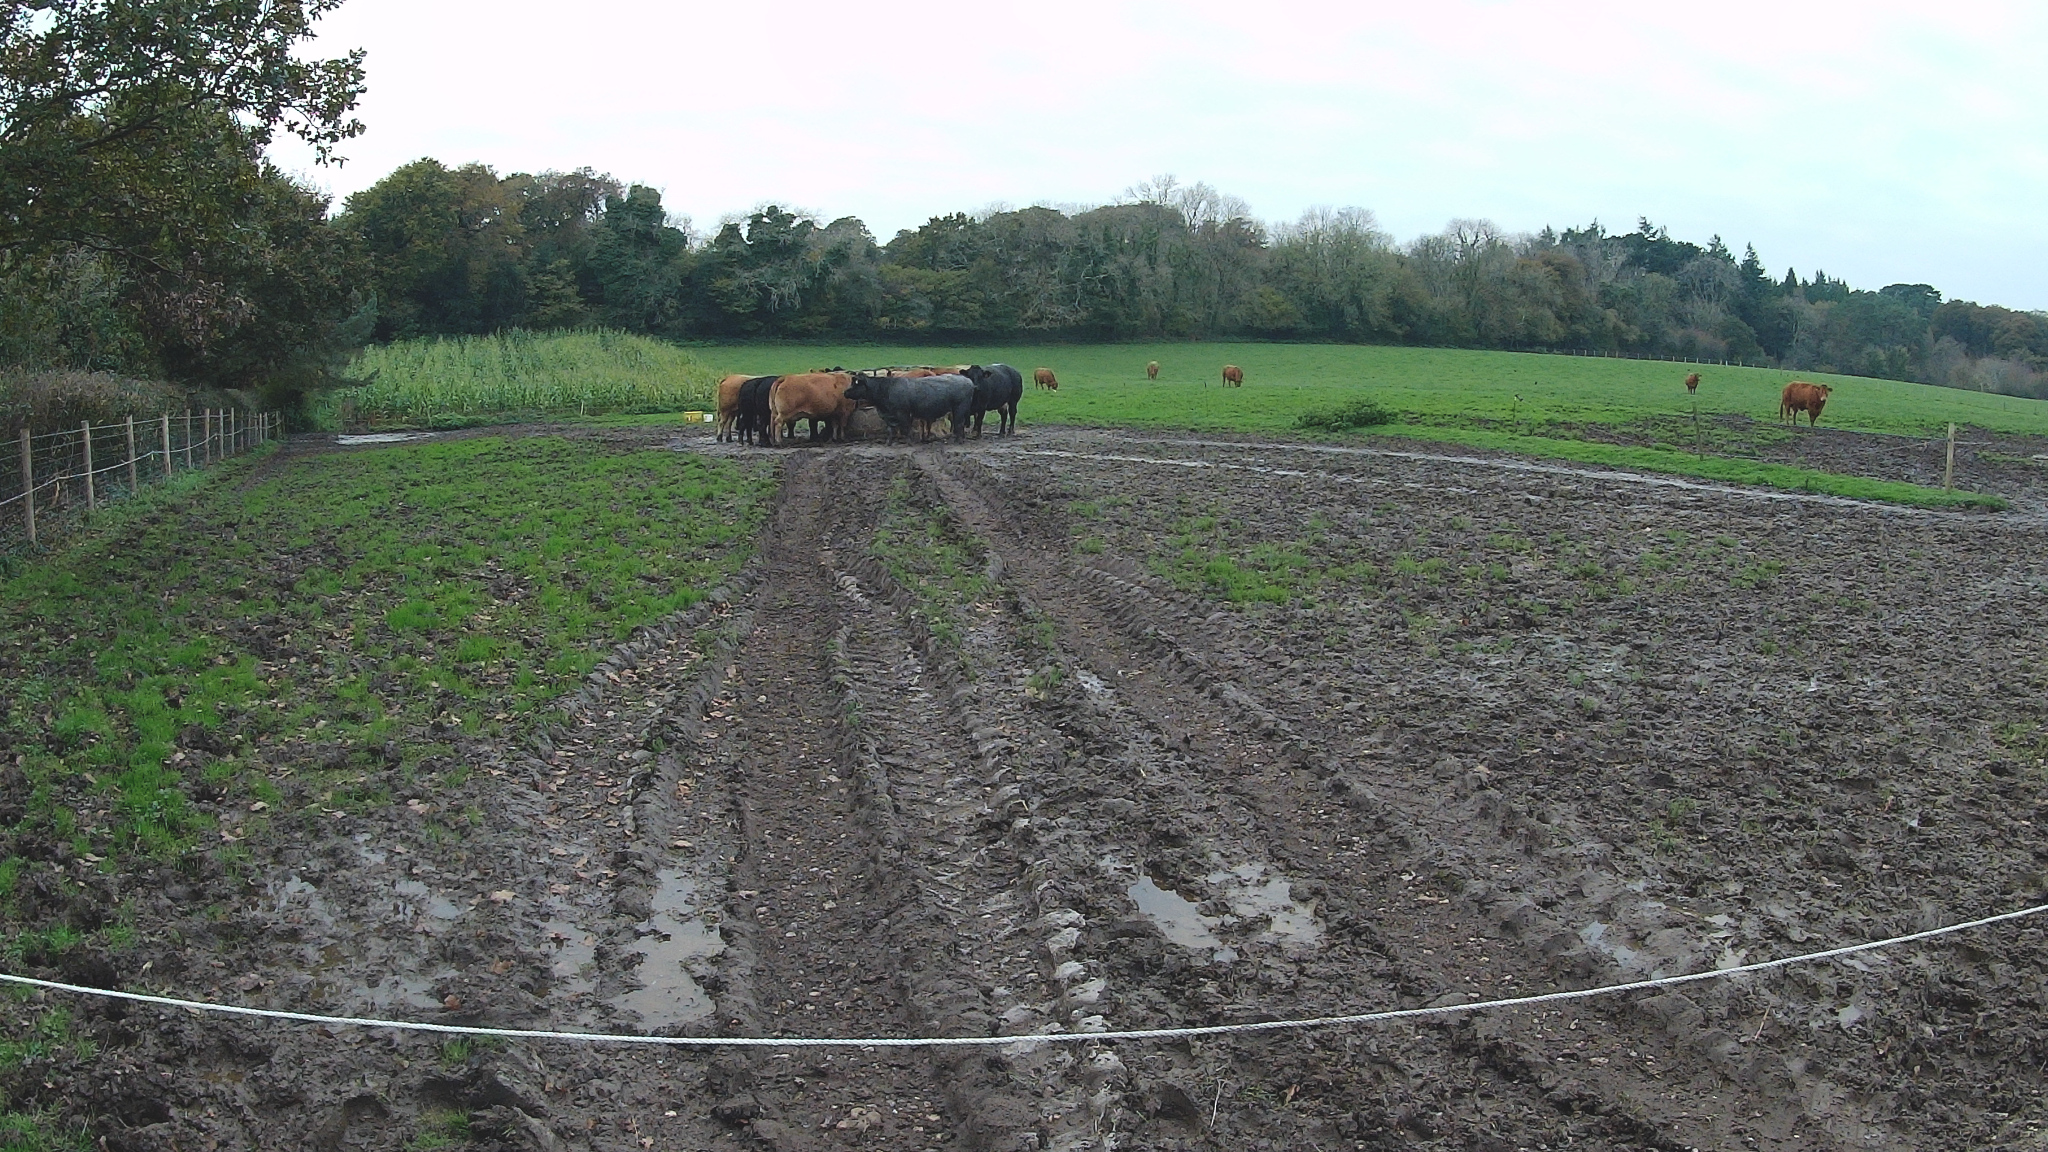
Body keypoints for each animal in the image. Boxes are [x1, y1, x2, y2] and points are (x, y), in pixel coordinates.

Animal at [843, 372, 976, 445]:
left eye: (857, 384)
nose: (845, 392)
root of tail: (967, 380)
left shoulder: (902, 412)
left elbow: (905, 428)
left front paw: (909, 442)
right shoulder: (889, 416)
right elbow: (891, 430)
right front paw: (888, 443)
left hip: (960, 408)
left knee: (959, 423)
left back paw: (958, 440)